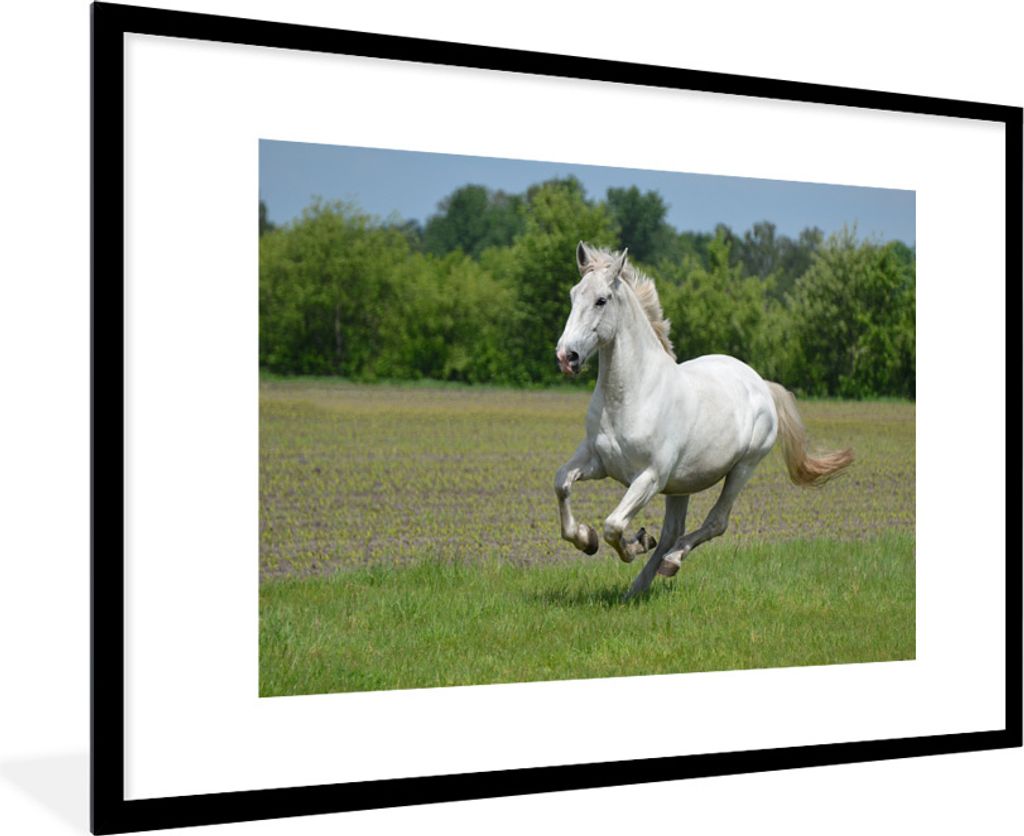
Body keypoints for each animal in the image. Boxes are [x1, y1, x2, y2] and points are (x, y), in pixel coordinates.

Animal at [554, 241, 853, 601]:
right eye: (573, 295)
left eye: (601, 300)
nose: (566, 356)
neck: (631, 397)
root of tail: (761, 383)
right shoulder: (597, 462)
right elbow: (561, 483)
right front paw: (587, 539)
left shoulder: (649, 477)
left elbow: (614, 525)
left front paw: (633, 543)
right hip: (680, 484)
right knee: (672, 531)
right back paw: (637, 587)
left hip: (742, 468)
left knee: (714, 523)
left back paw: (671, 562)